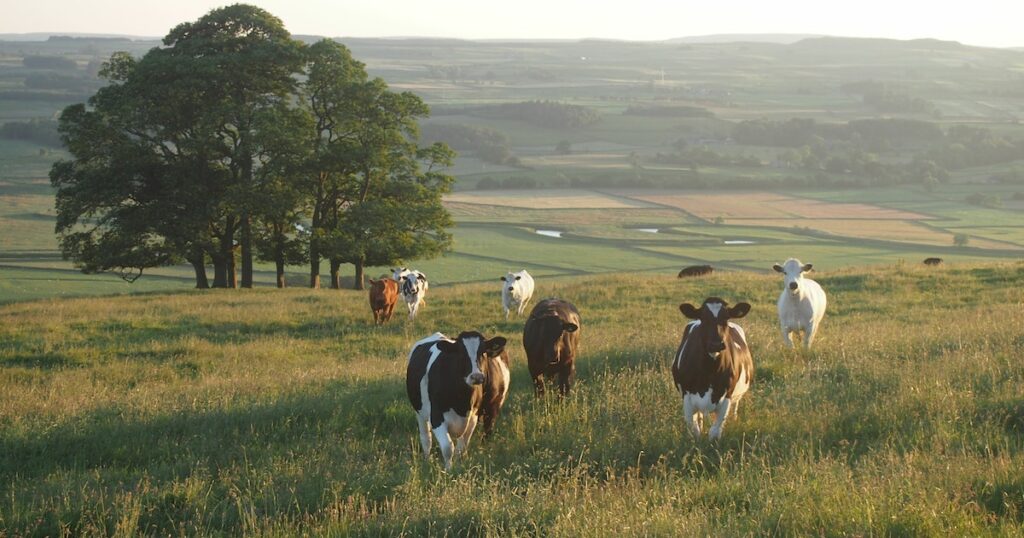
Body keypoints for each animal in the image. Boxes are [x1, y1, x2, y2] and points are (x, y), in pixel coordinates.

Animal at [403, 329, 507, 467]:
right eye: (461, 352)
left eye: (483, 351)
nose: (476, 376)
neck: (461, 401)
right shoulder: (436, 417)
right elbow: (448, 448)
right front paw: (448, 469)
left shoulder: (473, 417)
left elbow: (461, 447)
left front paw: (458, 466)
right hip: (419, 412)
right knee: (426, 438)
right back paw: (426, 460)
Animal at [671, 295, 753, 438]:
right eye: (703, 318)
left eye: (726, 318)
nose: (716, 344)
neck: (709, 371)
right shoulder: (687, 398)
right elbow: (695, 431)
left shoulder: (726, 397)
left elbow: (715, 432)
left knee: (735, 407)